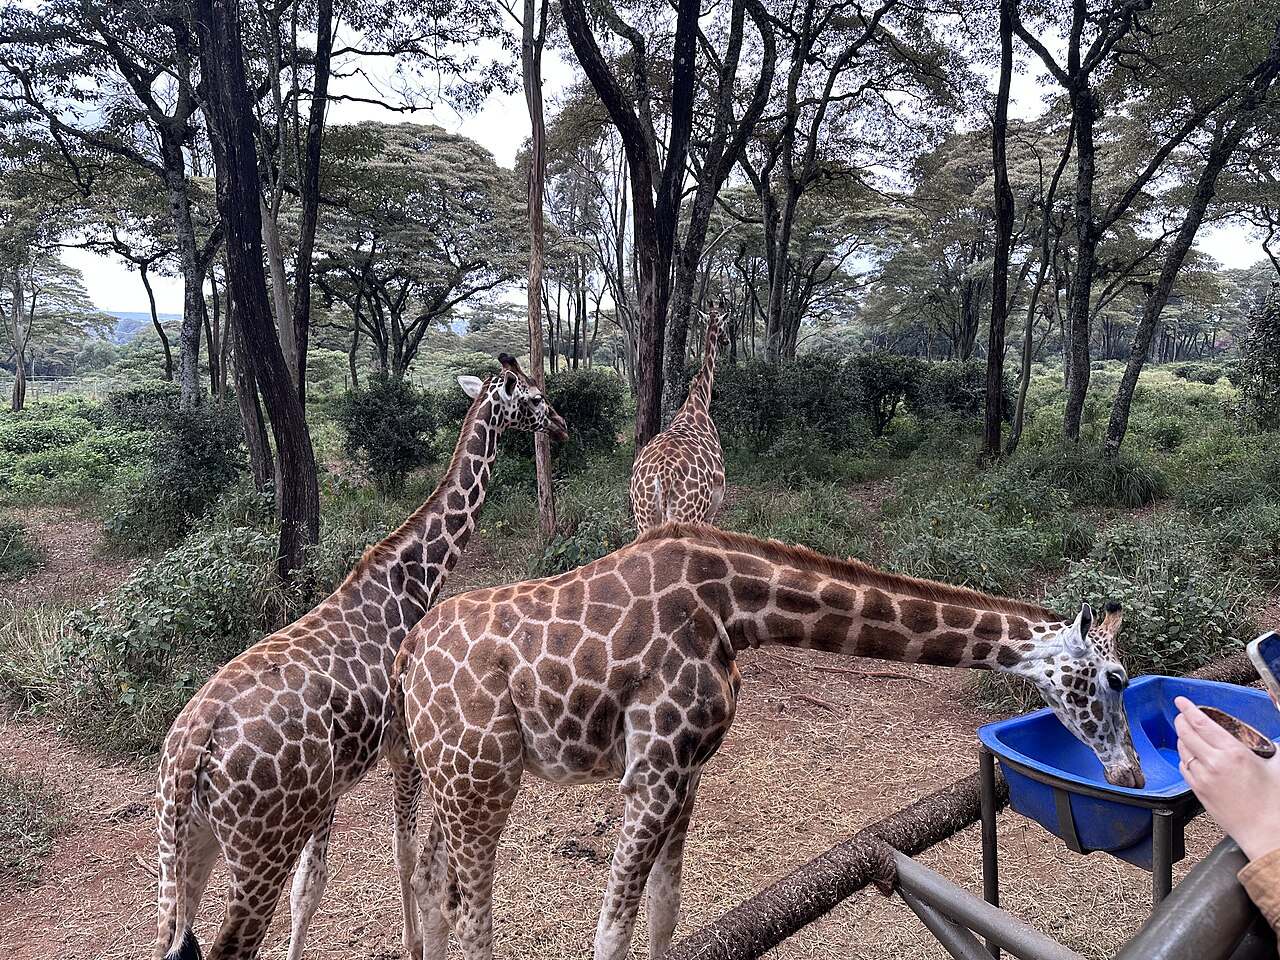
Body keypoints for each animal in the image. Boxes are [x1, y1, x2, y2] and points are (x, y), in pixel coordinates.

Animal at [153, 354, 568, 960]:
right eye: (535, 397)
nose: (561, 427)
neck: (412, 574)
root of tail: (188, 753)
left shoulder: (328, 794)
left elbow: (312, 888)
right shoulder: (405, 749)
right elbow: (406, 855)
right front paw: (415, 945)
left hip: (183, 844)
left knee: (171, 936)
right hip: (259, 849)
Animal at [393, 522, 1143, 960]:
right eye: (1117, 677)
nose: (1132, 774)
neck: (736, 608)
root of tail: (408, 656)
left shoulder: (688, 769)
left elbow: (663, 913)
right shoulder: (653, 768)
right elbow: (612, 932)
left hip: (454, 775)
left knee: (429, 881)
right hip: (482, 777)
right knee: (472, 921)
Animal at [630, 302, 727, 532]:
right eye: (725, 325)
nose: (727, 341)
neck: (700, 400)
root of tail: (664, 474)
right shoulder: (712, 512)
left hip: (644, 516)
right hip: (688, 515)